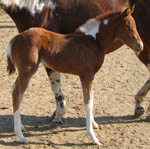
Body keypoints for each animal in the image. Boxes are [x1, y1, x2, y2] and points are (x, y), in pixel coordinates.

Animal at [6, 7, 143, 145]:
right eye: (128, 26)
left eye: (135, 25)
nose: (140, 46)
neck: (94, 41)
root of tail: (14, 39)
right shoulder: (86, 75)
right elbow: (88, 101)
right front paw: (93, 137)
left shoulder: (90, 77)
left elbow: (91, 98)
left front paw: (94, 124)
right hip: (28, 70)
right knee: (17, 93)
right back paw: (21, 136)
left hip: (23, 71)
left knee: (14, 90)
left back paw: (21, 127)